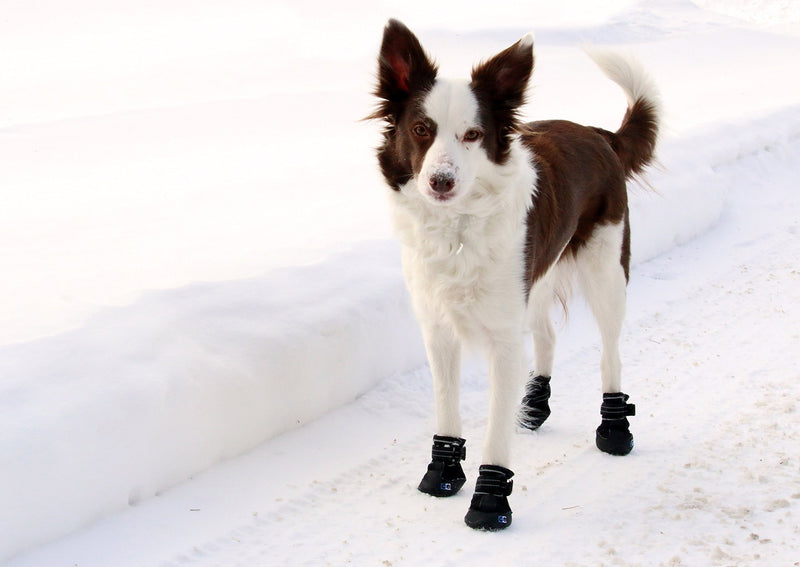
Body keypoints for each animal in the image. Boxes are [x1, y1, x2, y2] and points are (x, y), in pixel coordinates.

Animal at [368, 18, 656, 532]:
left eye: (472, 134)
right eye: (421, 129)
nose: (440, 181)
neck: (458, 228)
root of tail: (598, 134)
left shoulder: (502, 339)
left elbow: (496, 432)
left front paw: (489, 499)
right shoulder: (439, 328)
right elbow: (447, 407)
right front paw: (443, 473)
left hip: (606, 273)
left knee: (611, 354)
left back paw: (614, 427)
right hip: (535, 277)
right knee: (547, 335)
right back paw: (534, 404)